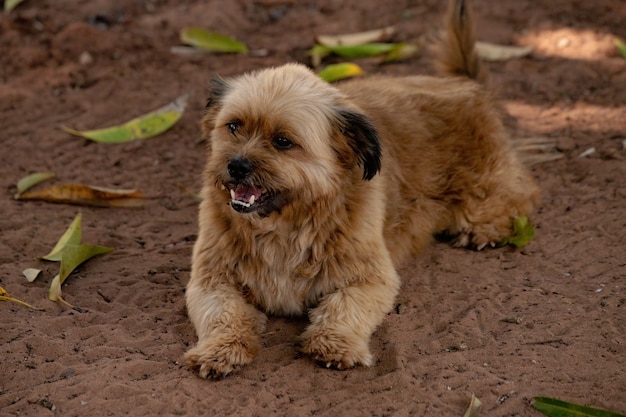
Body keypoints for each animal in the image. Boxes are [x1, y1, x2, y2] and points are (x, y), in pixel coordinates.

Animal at [183, 0, 540, 376]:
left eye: (282, 141)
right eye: (233, 126)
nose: (236, 165)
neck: (285, 223)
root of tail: (462, 83)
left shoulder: (371, 277)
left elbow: (344, 306)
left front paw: (334, 343)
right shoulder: (211, 279)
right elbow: (223, 314)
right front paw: (220, 349)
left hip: (481, 191)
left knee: (520, 194)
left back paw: (486, 229)